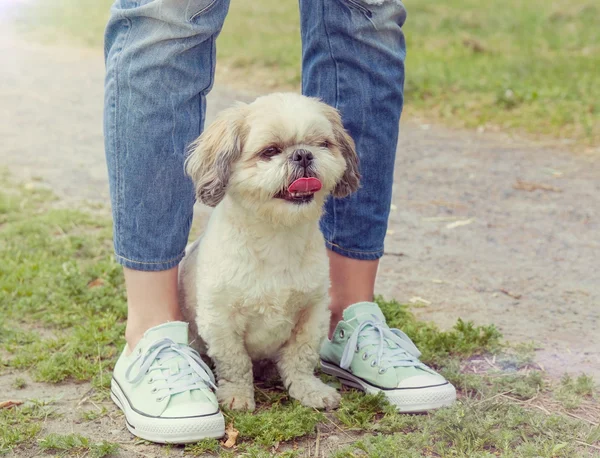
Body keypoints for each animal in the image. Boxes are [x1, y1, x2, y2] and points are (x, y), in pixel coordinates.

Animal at [176, 91, 358, 410]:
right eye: (270, 151)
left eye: (322, 144)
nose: (302, 154)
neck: (277, 235)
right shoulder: (220, 319)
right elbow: (234, 361)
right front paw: (237, 394)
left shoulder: (312, 312)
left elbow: (300, 356)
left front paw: (309, 389)